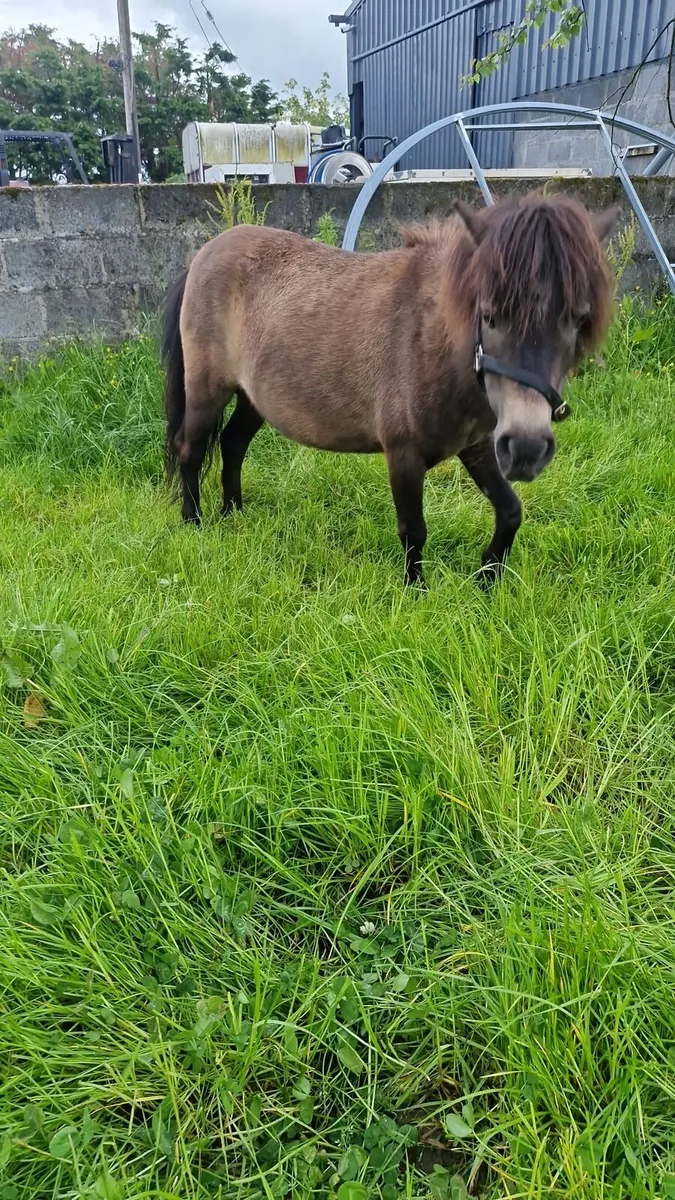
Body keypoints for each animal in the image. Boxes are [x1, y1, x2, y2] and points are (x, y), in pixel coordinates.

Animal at [162, 192, 618, 586]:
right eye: (489, 315)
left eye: (578, 319)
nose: (527, 449)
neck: (431, 340)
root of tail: (204, 253)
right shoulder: (403, 454)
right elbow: (413, 529)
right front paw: (417, 592)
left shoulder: (477, 444)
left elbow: (510, 511)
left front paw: (487, 579)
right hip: (206, 390)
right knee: (192, 449)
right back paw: (193, 522)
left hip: (252, 399)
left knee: (232, 444)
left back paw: (233, 515)